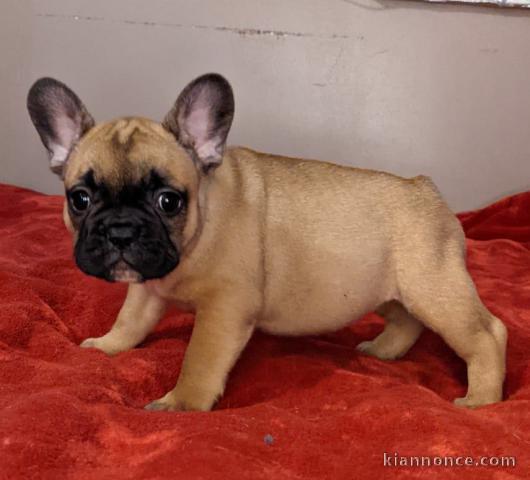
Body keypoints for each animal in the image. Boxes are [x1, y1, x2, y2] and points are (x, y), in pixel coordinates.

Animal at [26, 73, 506, 410]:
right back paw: (383, 351)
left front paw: (180, 404)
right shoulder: (147, 287)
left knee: (486, 333)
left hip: (434, 288)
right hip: (385, 287)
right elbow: (130, 321)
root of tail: (425, 188)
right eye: (80, 199)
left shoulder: (225, 308)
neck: (198, 233)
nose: (121, 230)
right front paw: (107, 346)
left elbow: (199, 358)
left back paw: (481, 399)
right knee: (407, 319)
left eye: (168, 200)